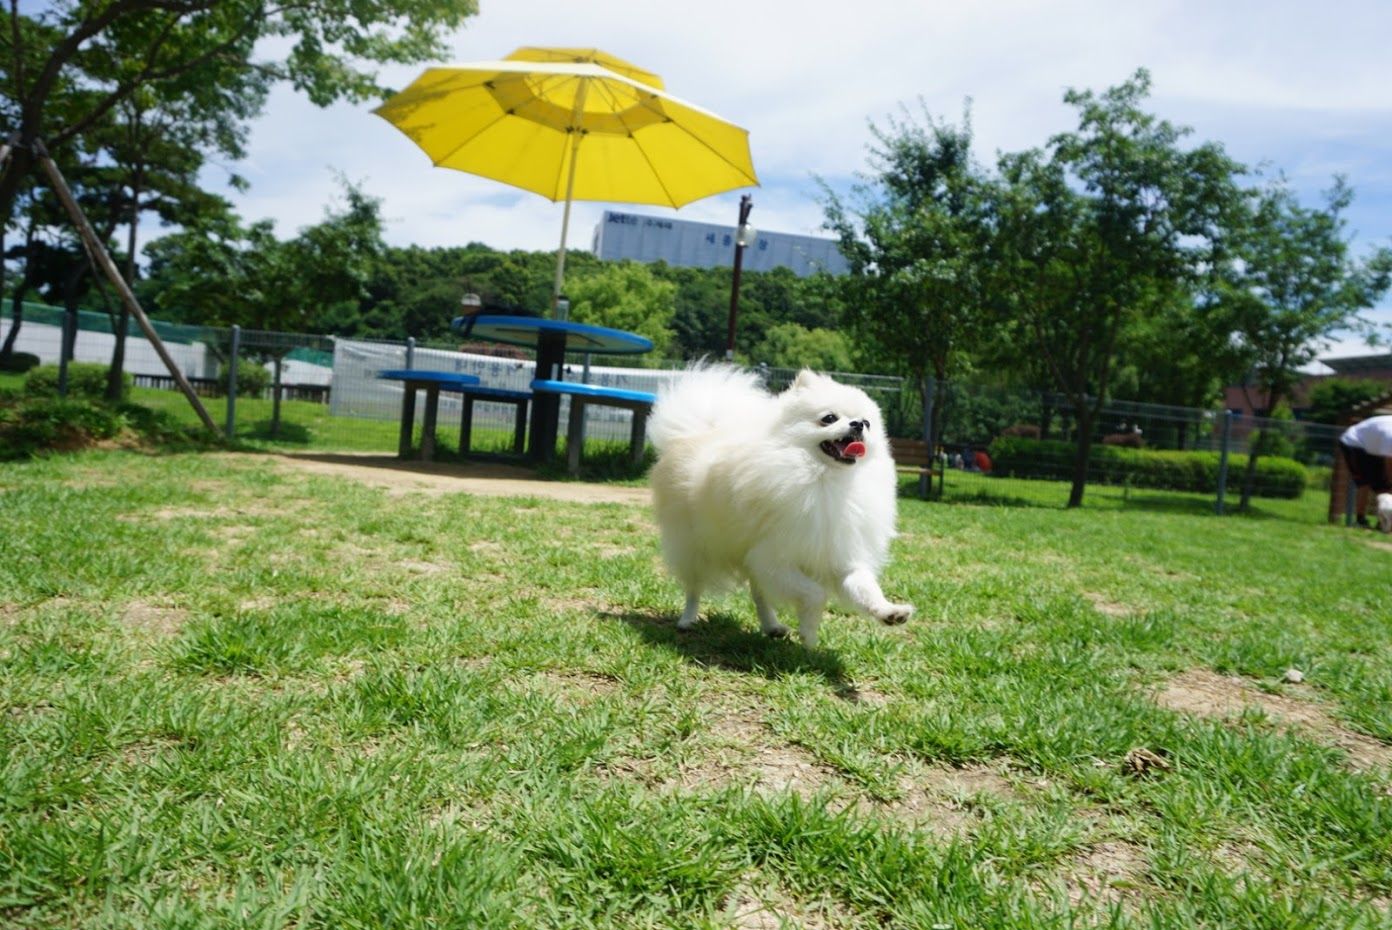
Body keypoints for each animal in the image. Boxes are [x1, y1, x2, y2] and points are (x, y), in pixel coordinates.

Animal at [648, 361, 913, 645]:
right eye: (829, 418)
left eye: (867, 423)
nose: (857, 425)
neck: (825, 481)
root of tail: (698, 431)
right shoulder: (772, 558)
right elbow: (815, 594)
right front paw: (809, 630)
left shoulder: (839, 553)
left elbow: (864, 587)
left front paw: (889, 612)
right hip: (696, 547)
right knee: (694, 587)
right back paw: (687, 619)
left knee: (759, 595)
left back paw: (771, 626)